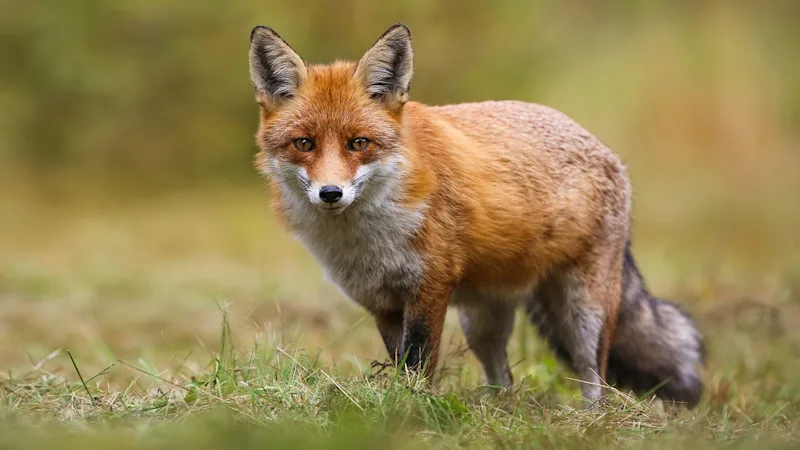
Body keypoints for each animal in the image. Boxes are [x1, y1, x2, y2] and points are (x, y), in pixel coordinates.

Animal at [247, 22, 704, 406]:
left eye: (358, 143)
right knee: (503, 377)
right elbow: (400, 362)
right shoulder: (381, 301)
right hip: (482, 322)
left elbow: (418, 364)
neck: (366, 238)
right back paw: (501, 413)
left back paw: (591, 420)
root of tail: (605, 149)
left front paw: (412, 409)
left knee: (595, 377)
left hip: (584, 311)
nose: (330, 193)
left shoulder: (430, 288)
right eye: (304, 144)